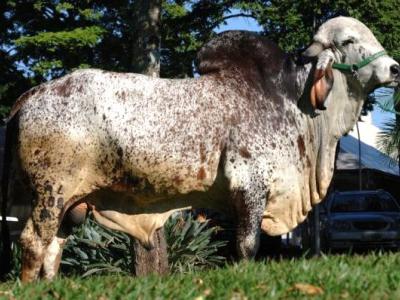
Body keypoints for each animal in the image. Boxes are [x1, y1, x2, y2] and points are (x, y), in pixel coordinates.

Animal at [2, 16, 400, 282]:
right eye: (349, 40)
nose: (394, 68)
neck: (291, 99)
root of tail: (34, 94)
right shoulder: (250, 186)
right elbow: (247, 245)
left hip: (72, 205)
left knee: (53, 248)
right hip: (50, 194)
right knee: (33, 241)